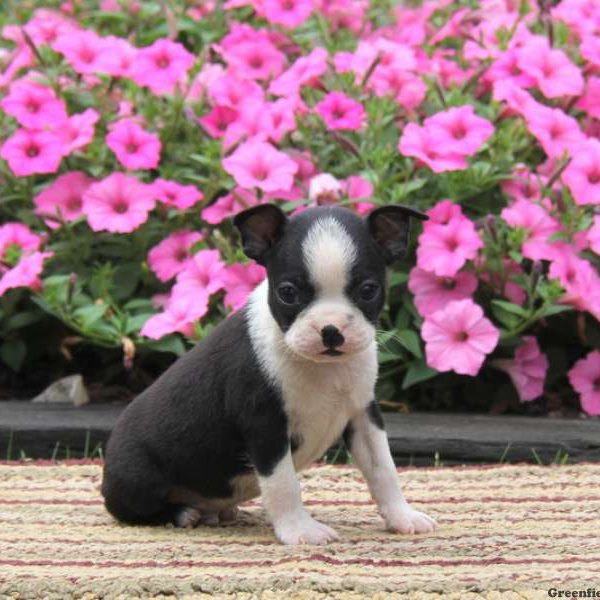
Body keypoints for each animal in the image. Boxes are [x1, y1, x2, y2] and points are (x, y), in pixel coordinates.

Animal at [101, 204, 434, 548]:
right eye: (287, 293)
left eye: (368, 290)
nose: (330, 329)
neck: (322, 367)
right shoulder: (265, 425)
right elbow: (283, 483)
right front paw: (300, 531)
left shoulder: (363, 414)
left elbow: (384, 469)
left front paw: (402, 517)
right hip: (135, 480)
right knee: (130, 508)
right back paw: (183, 514)